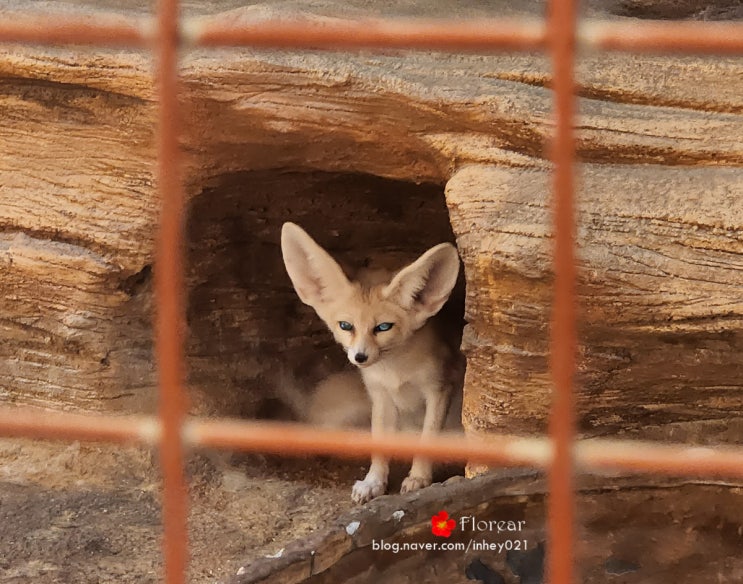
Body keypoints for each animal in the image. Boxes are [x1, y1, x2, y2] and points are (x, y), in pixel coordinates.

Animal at [280, 221, 462, 504]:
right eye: (346, 325)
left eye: (383, 327)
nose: (360, 357)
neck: (396, 373)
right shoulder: (380, 395)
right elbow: (379, 444)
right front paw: (373, 482)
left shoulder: (439, 388)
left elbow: (427, 438)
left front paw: (419, 478)